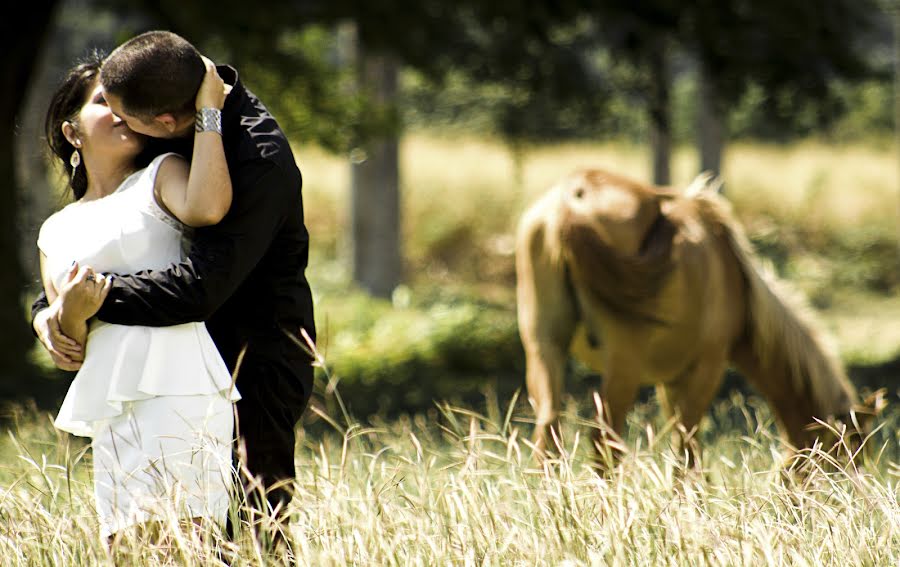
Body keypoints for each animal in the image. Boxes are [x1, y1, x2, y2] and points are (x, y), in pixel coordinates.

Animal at [516, 168, 884, 466]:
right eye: (845, 458)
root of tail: (575, 195)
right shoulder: (706, 367)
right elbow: (688, 446)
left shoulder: (670, 381)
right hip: (623, 364)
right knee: (605, 440)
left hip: (544, 349)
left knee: (548, 433)